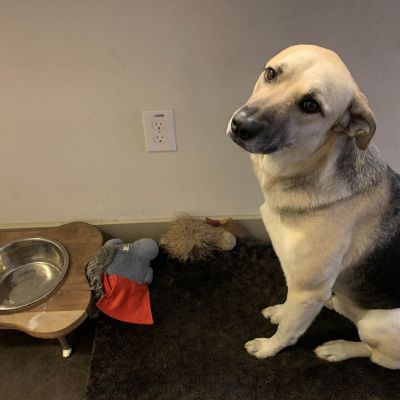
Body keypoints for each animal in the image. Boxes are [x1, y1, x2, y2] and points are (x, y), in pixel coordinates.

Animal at [226, 44, 400, 369]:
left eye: (310, 105)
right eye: (271, 73)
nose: (241, 125)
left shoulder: (308, 288)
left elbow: (288, 330)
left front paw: (268, 348)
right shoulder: (298, 283)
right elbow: (290, 310)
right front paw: (281, 311)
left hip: (377, 324)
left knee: (378, 355)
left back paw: (339, 348)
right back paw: (336, 303)